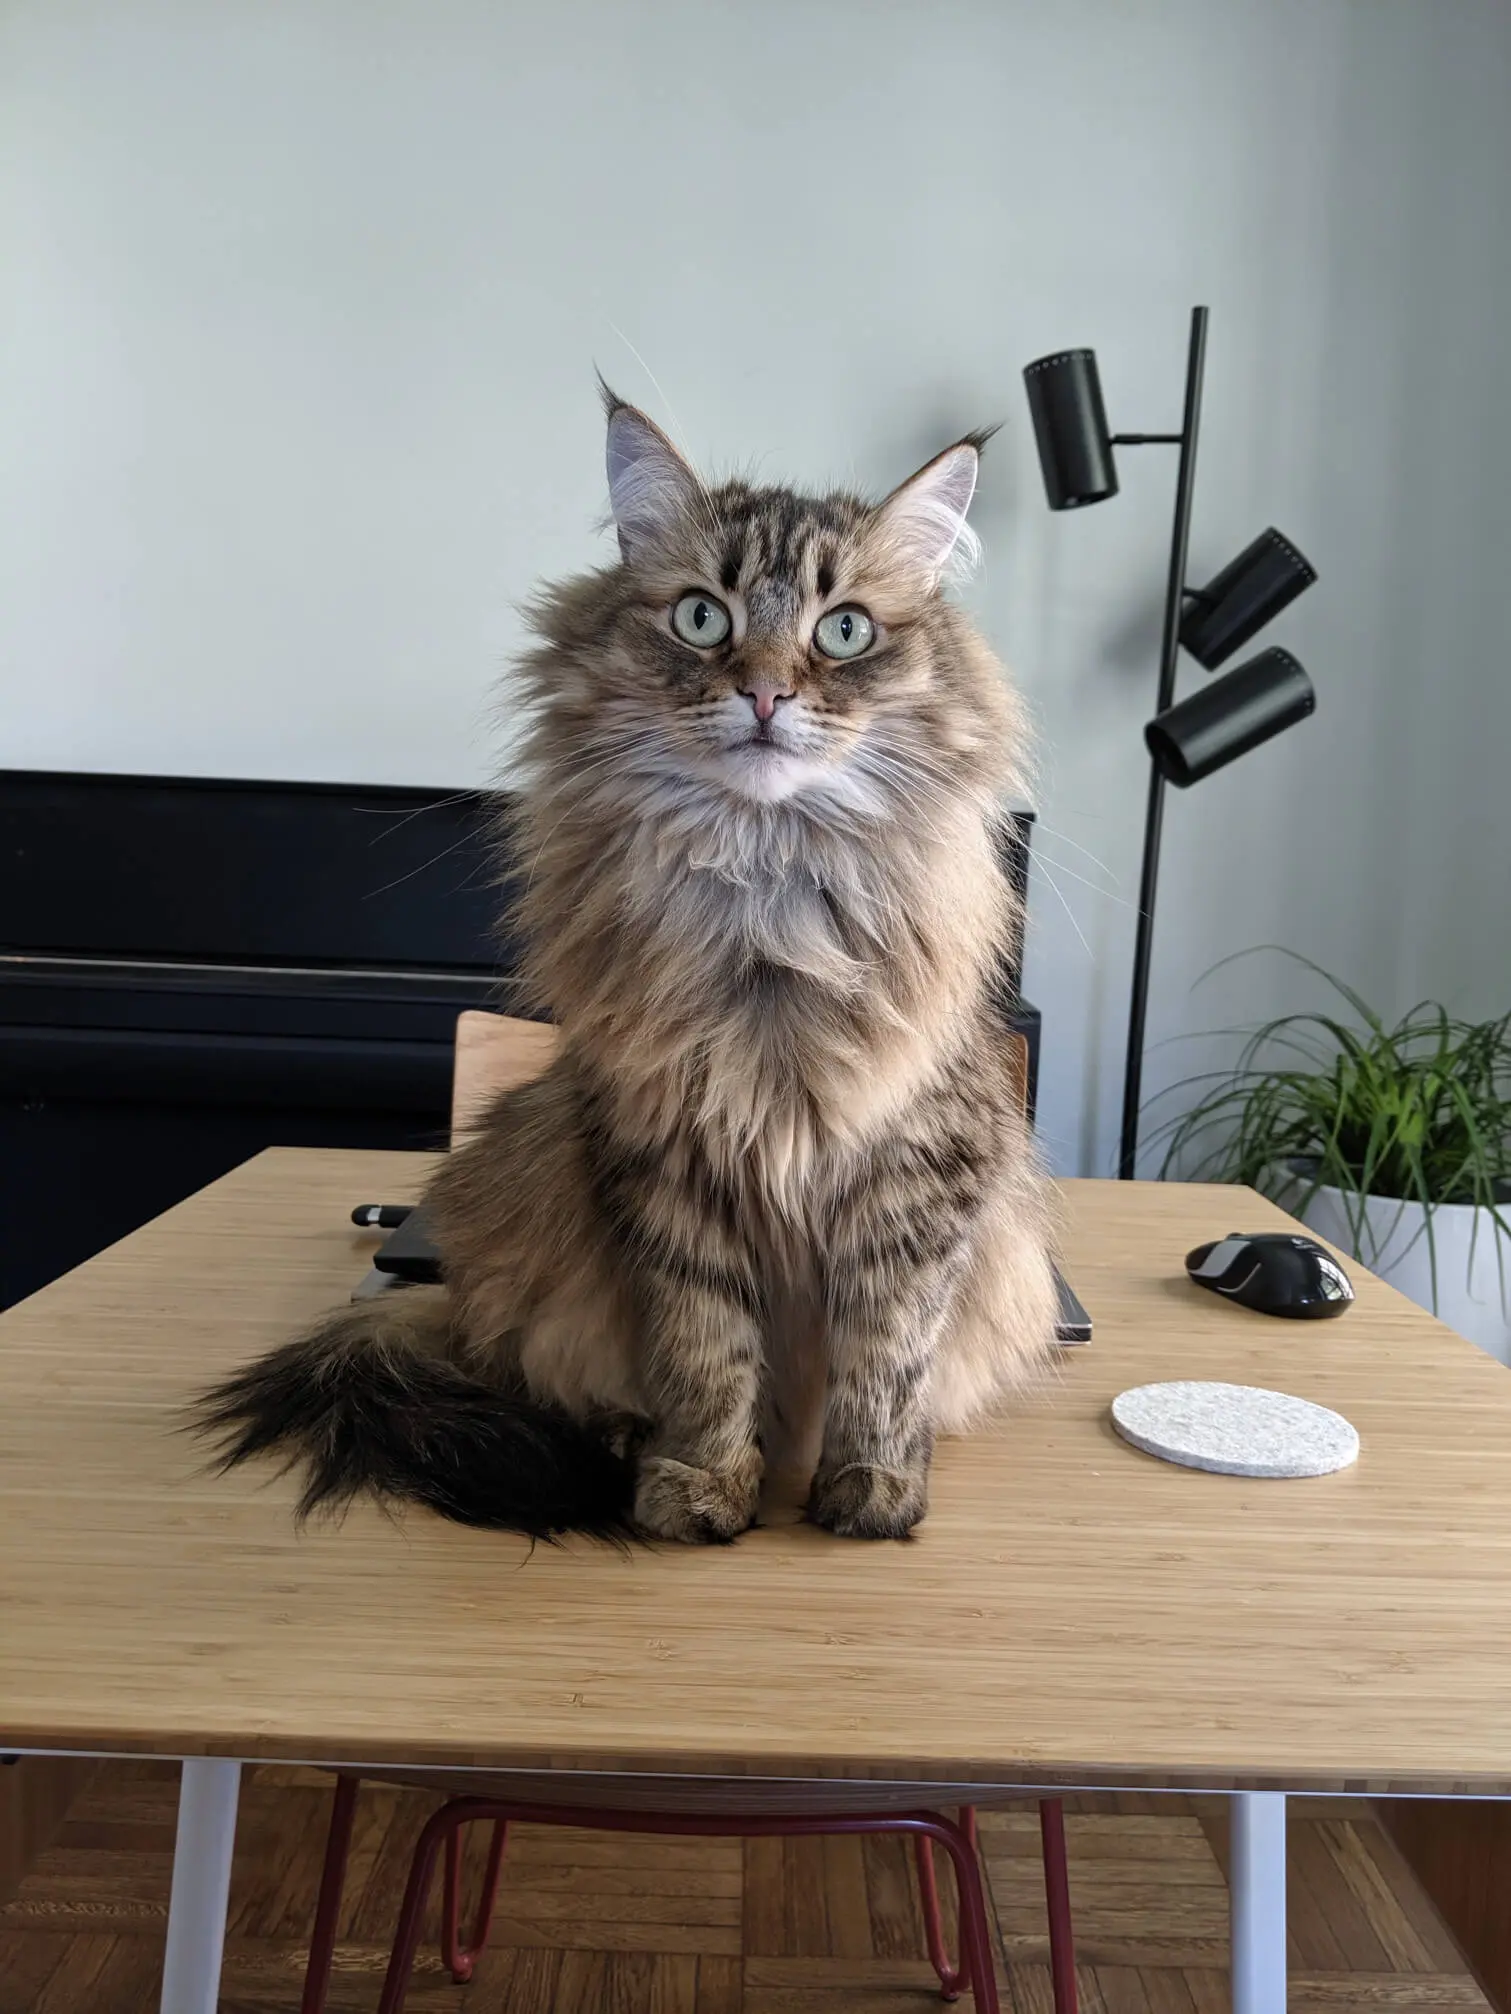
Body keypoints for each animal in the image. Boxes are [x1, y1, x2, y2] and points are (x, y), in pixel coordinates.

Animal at [198, 388, 1055, 1538]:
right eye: (702, 617)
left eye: (843, 630)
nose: (766, 694)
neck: (766, 905)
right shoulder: (662, 1157)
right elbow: (705, 1348)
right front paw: (701, 1485)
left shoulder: (923, 1169)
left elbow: (887, 1353)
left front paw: (870, 1489)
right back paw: (616, 1437)